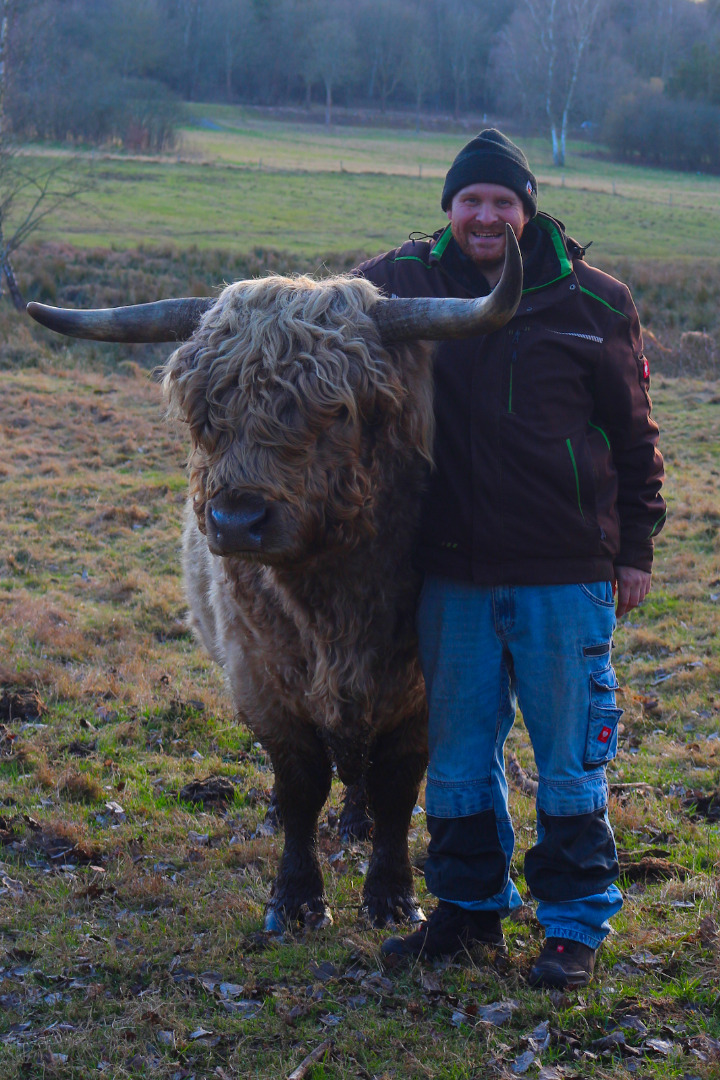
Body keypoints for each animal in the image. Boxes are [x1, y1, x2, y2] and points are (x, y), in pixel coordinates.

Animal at [26, 232, 524, 933]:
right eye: (204, 411)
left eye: (335, 410)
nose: (236, 519)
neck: (337, 609)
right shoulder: (260, 675)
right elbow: (299, 785)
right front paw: (295, 897)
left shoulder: (425, 685)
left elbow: (398, 786)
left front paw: (392, 894)